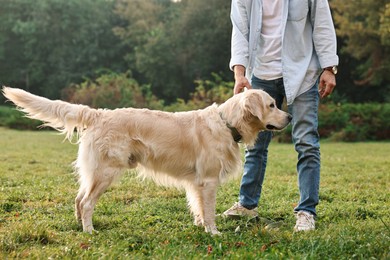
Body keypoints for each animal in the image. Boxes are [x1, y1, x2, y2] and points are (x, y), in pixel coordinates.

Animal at [2, 86, 290, 235]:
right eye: (272, 105)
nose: (289, 117)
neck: (226, 123)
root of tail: (99, 114)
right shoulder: (208, 181)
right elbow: (208, 211)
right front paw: (213, 232)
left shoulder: (196, 183)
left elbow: (198, 208)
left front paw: (200, 226)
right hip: (106, 172)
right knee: (86, 202)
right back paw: (89, 231)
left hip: (95, 172)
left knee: (78, 198)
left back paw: (78, 225)